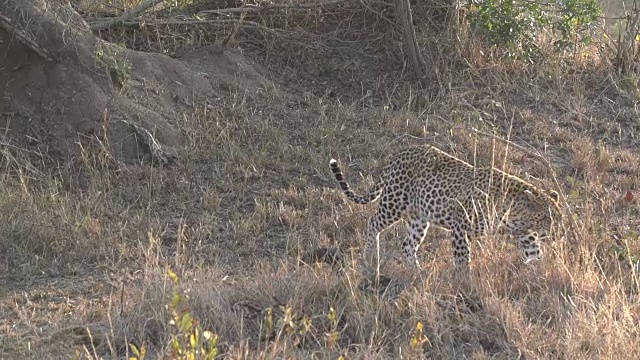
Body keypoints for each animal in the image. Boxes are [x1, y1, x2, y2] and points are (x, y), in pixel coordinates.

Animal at [330, 145, 560, 268]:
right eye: (546, 218)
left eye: (557, 218)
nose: (557, 232)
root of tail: (400, 152)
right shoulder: (461, 228)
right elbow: (462, 258)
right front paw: (464, 282)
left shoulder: (527, 234)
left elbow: (535, 254)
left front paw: (540, 278)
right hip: (393, 203)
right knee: (373, 222)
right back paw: (370, 256)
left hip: (419, 218)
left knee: (408, 244)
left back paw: (416, 272)